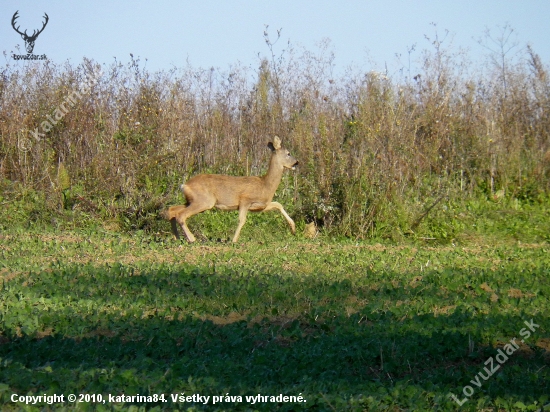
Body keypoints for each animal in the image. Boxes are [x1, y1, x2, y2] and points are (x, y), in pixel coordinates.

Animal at [166, 137, 300, 243]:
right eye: (288, 153)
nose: (297, 162)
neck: (265, 185)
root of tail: (184, 185)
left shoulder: (260, 206)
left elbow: (278, 204)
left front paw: (293, 229)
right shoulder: (245, 200)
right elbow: (242, 220)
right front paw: (234, 240)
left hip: (192, 200)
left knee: (172, 210)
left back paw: (176, 237)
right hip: (204, 201)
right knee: (181, 215)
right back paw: (192, 239)